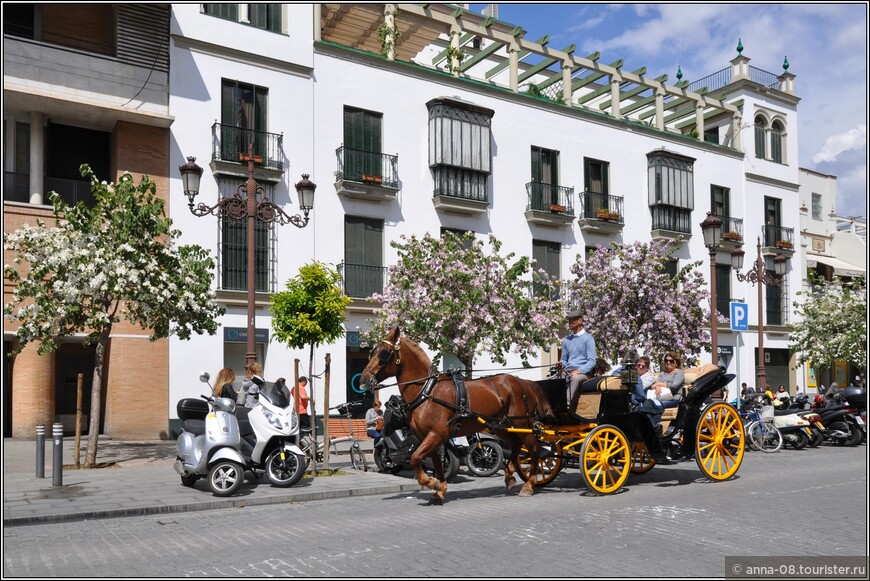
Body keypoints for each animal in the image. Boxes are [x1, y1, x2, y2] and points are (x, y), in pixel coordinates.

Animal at [362, 326, 560, 502]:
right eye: (373, 352)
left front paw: (432, 483)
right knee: (516, 445)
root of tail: (523, 382)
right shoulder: (431, 437)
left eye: (384, 353)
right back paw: (510, 475)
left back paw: (529, 484)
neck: (427, 391)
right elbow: (437, 465)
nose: (363, 379)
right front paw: (439, 490)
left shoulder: (437, 434)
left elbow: (415, 458)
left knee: (534, 449)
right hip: (501, 426)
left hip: (521, 424)